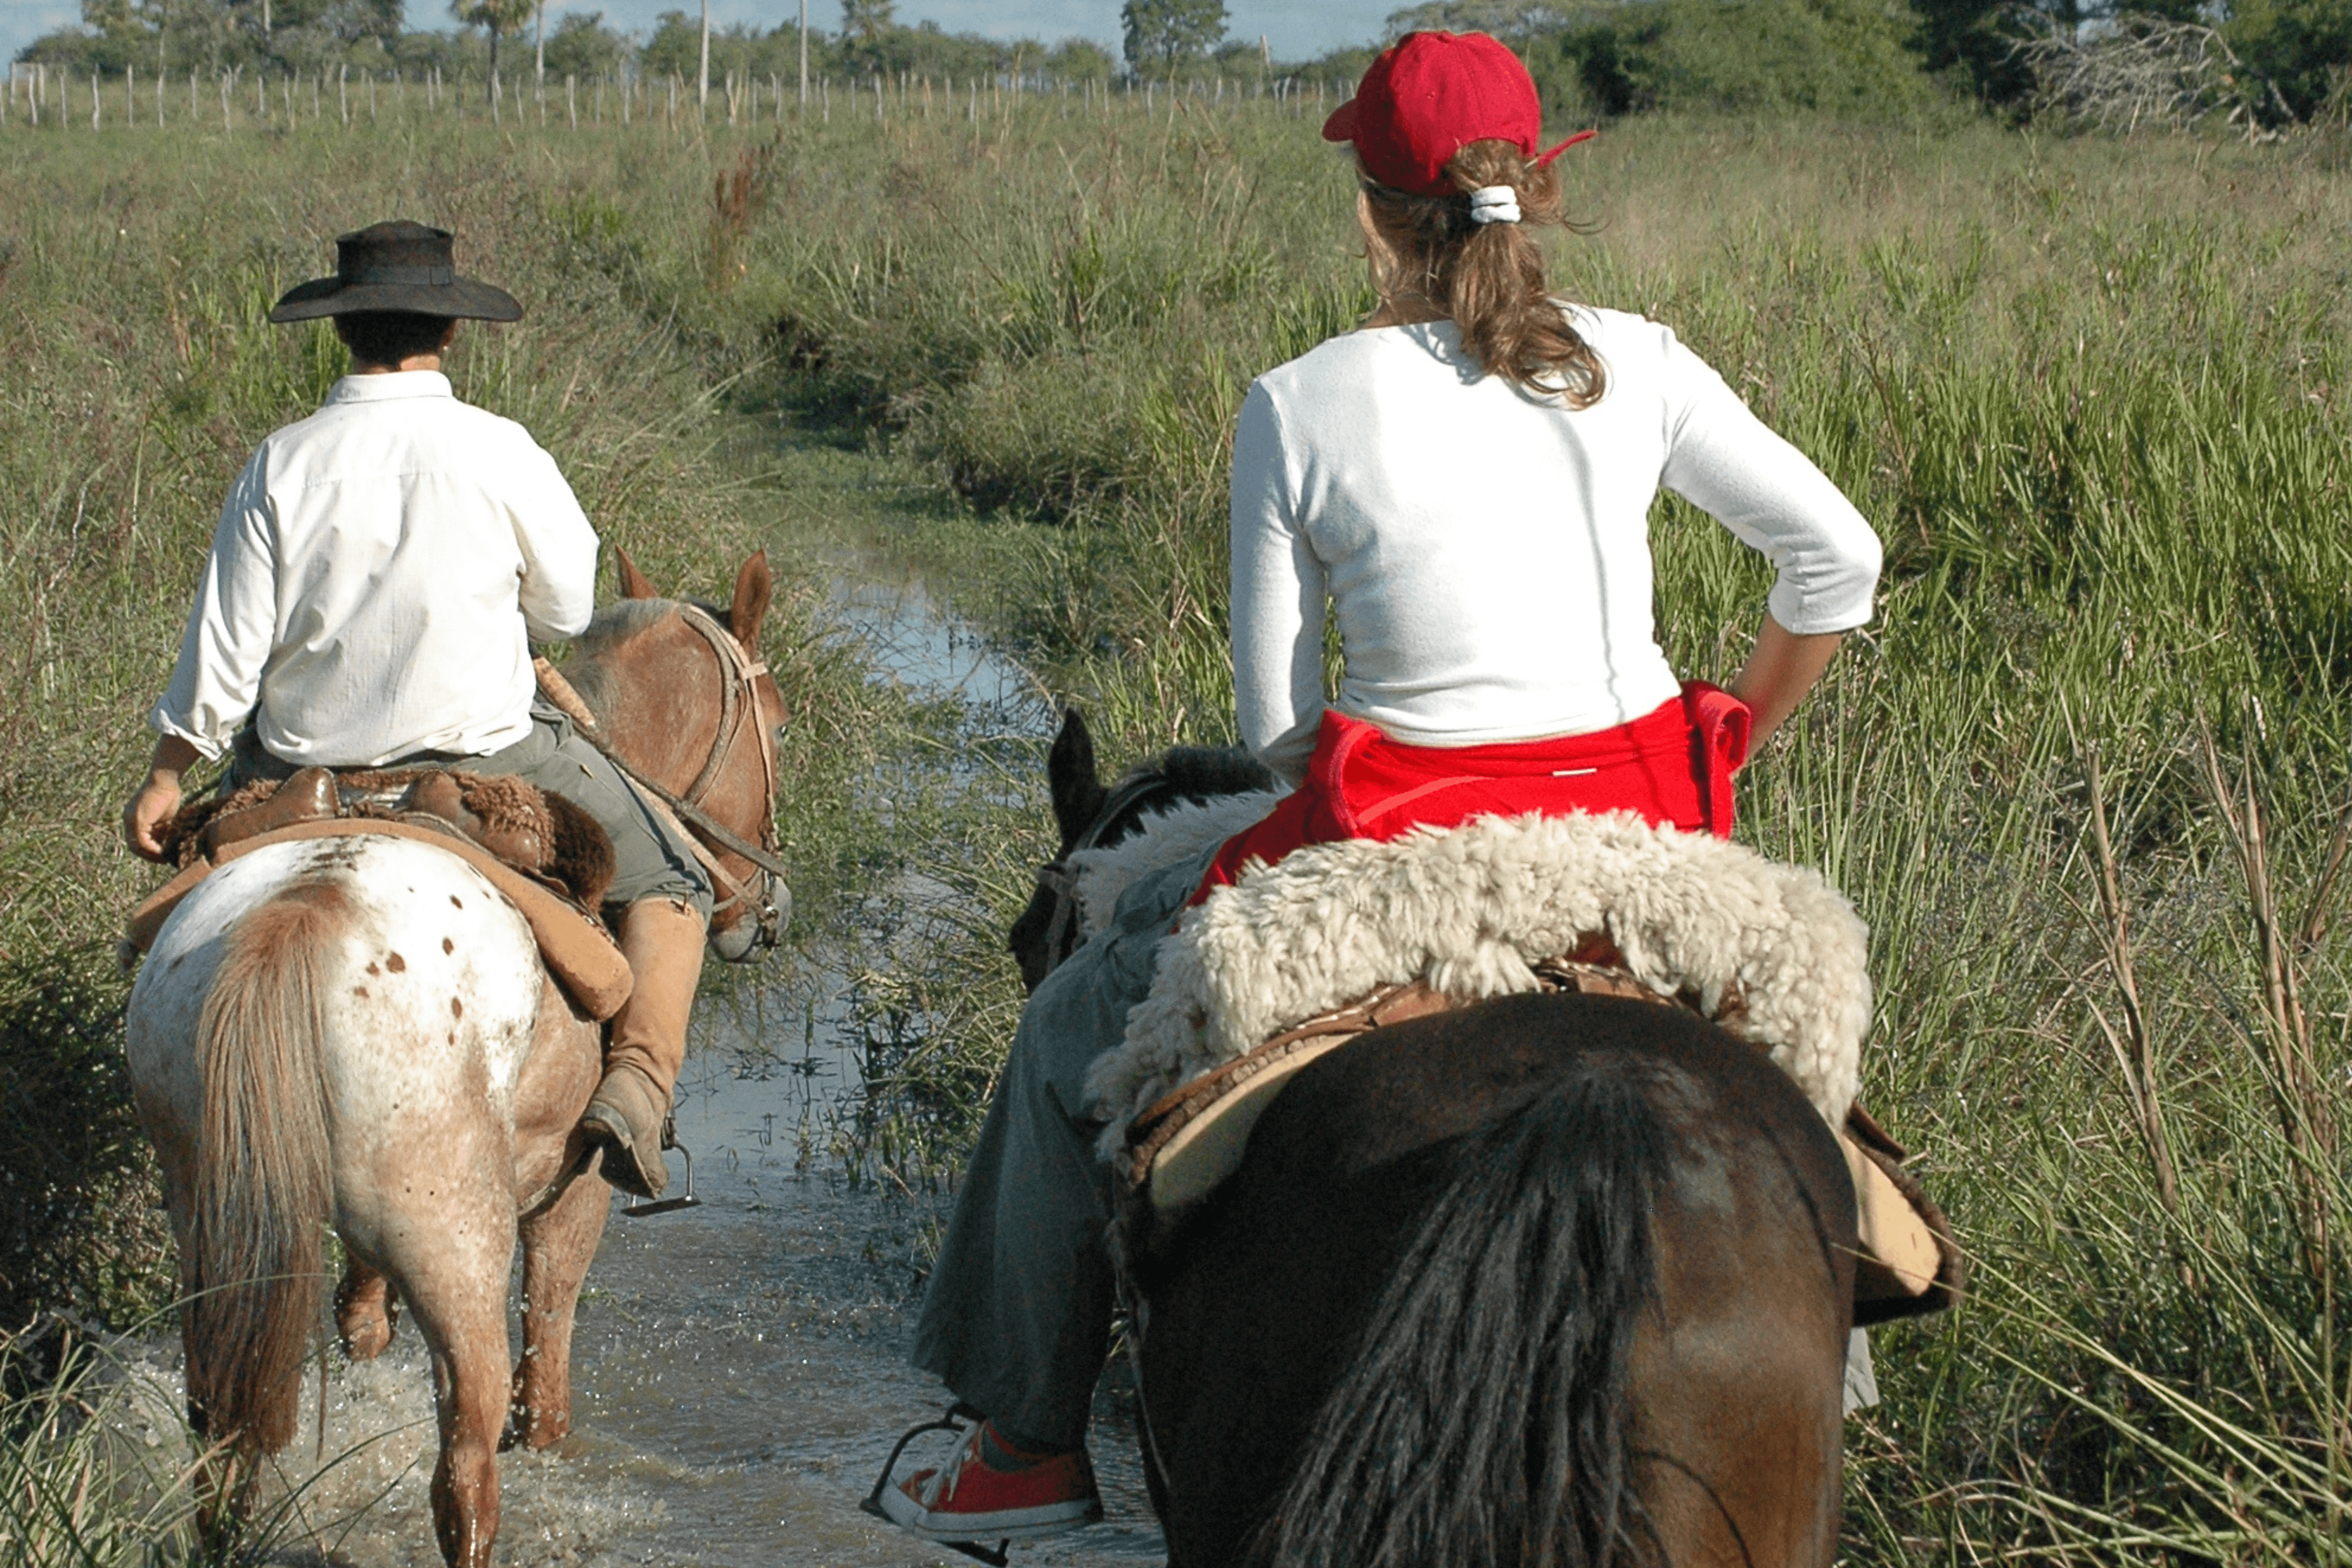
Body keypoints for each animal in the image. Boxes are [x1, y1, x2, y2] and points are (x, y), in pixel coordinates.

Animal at [129, 552, 785, 1568]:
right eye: (780, 726)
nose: (760, 910)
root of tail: (298, 921)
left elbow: (359, 1323)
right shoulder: (571, 1195)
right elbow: (543, 1395)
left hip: (218, 1227)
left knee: (222, 1434)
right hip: (458, 1244)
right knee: (468, 1466)